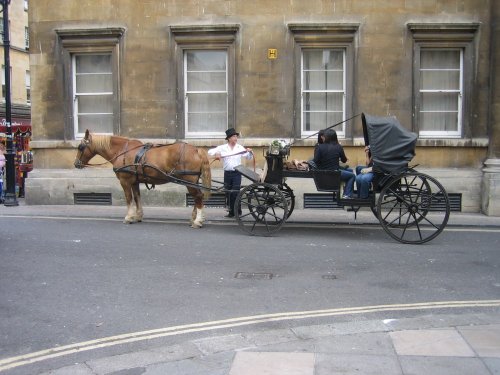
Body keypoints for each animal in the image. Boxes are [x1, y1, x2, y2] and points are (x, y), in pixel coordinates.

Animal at [75, 129, 212, 229]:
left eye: (80, 147)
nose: (76, 164)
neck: (122, 151)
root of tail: (196, 149)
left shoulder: (125, 181)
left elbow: (129, 198)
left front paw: (129, 217)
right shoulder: (134, 181)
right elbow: (137, 197)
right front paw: (138, 216)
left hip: (189, 180)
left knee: (198, 197)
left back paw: (197, 221)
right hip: (193, 181)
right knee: (197, 197)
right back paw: (194, 218)